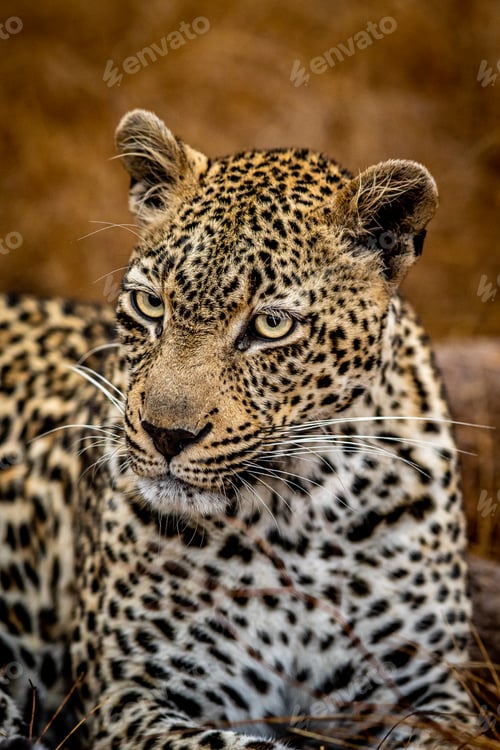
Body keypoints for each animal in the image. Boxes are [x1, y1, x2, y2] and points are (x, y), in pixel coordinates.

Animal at [0, 109, 474, 750]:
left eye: (271, 325)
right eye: (151, 305)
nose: (165, 433)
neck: (297, 515)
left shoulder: (430, 689)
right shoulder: (133, 697)